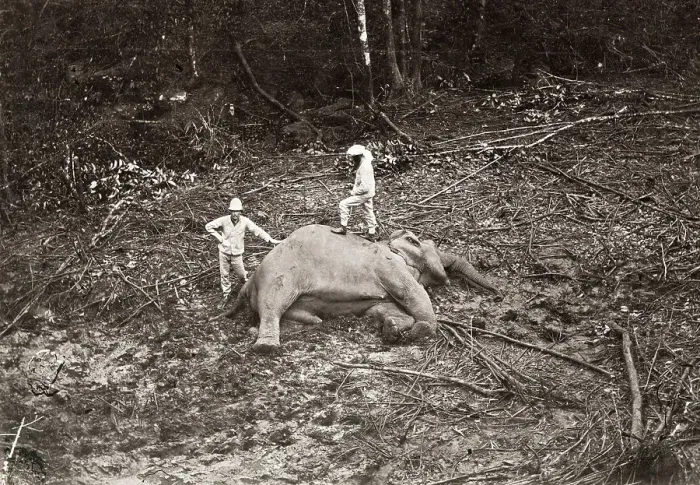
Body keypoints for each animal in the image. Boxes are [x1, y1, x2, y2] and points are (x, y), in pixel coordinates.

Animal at [224, 224, 501, 353]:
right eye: (423, 243)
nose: (498, 294)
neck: (391, 246)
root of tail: (249, 282)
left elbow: (380, 308)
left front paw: (392, 329)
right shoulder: (389, 266)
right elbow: (413, 293)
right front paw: (415, 332)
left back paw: (309, 323)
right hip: (279, 275)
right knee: (273, 304)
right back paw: (266, 347)